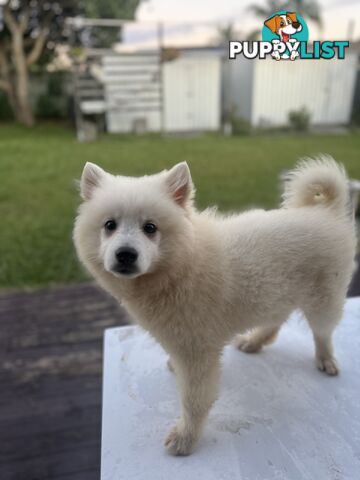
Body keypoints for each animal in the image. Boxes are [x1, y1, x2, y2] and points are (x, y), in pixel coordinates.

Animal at [74, 158, 358, 458]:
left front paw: (185, 439)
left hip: (323, 299)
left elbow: (194, 401)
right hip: (275, 293)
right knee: (277, 320)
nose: (126, 254)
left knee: (323, 332)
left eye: (150, 228)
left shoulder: (198, 352)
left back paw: (325, 359)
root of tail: (327, 211)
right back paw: (254, 341)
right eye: (109, 225)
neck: (180, 267)